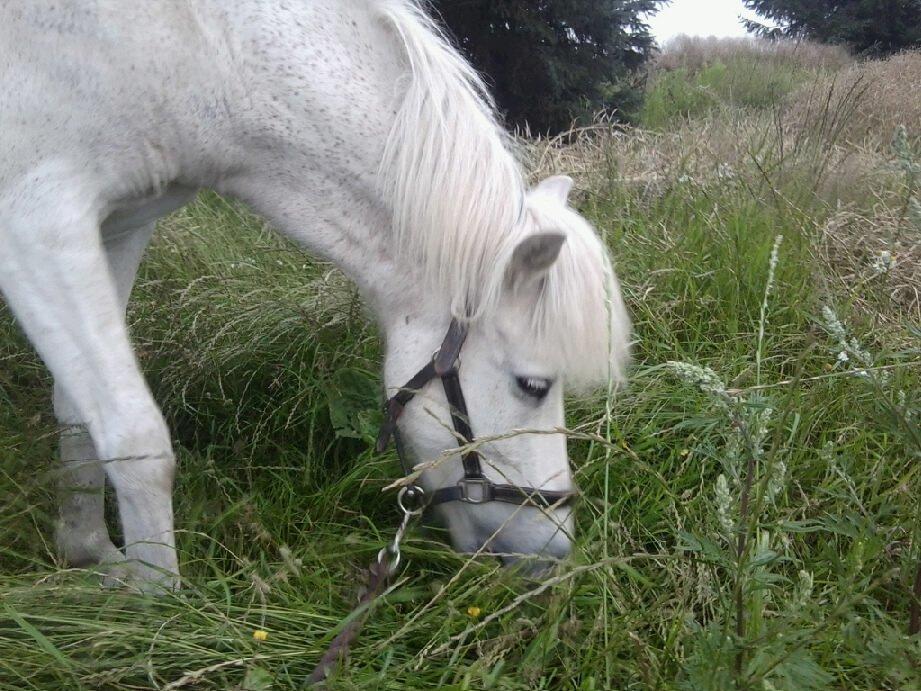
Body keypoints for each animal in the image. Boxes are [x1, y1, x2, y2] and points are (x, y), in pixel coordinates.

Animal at [0, 0, 628, 588]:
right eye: (533, 385)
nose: (553, 557)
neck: (201, 54)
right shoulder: (39, 223)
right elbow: (136, 438)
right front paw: (160, 606)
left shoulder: (120, 226)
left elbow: (78, 412)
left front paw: (89, 551)